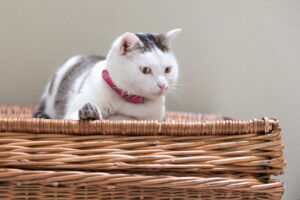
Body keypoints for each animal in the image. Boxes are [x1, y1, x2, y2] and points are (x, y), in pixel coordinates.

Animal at [34, 29, 182, 120]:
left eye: (167, 69)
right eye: (145, 70)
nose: (162, 85)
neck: (127, 101)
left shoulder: (156, 118)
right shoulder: (72, 113)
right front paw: (90, 112)